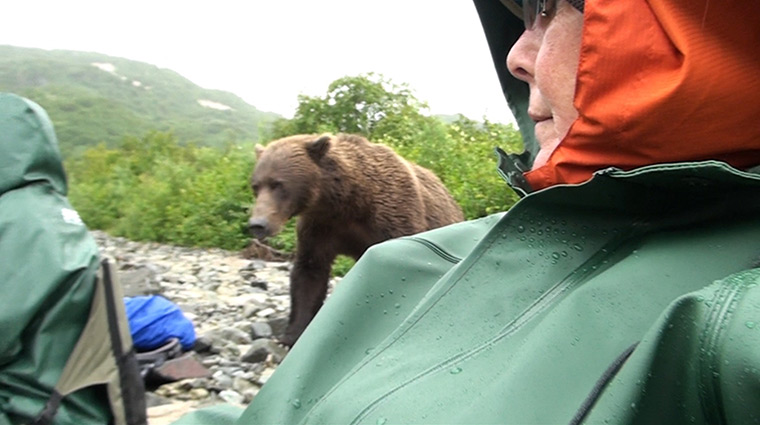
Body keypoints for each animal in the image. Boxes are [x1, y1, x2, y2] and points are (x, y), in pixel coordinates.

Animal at [248, 133, 464, 347]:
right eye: (256, 186)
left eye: (278, 184)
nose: (257, 224)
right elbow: (309, 272)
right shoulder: (319, 228)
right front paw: (292, 335)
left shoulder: (393, 217)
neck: (347, 202)